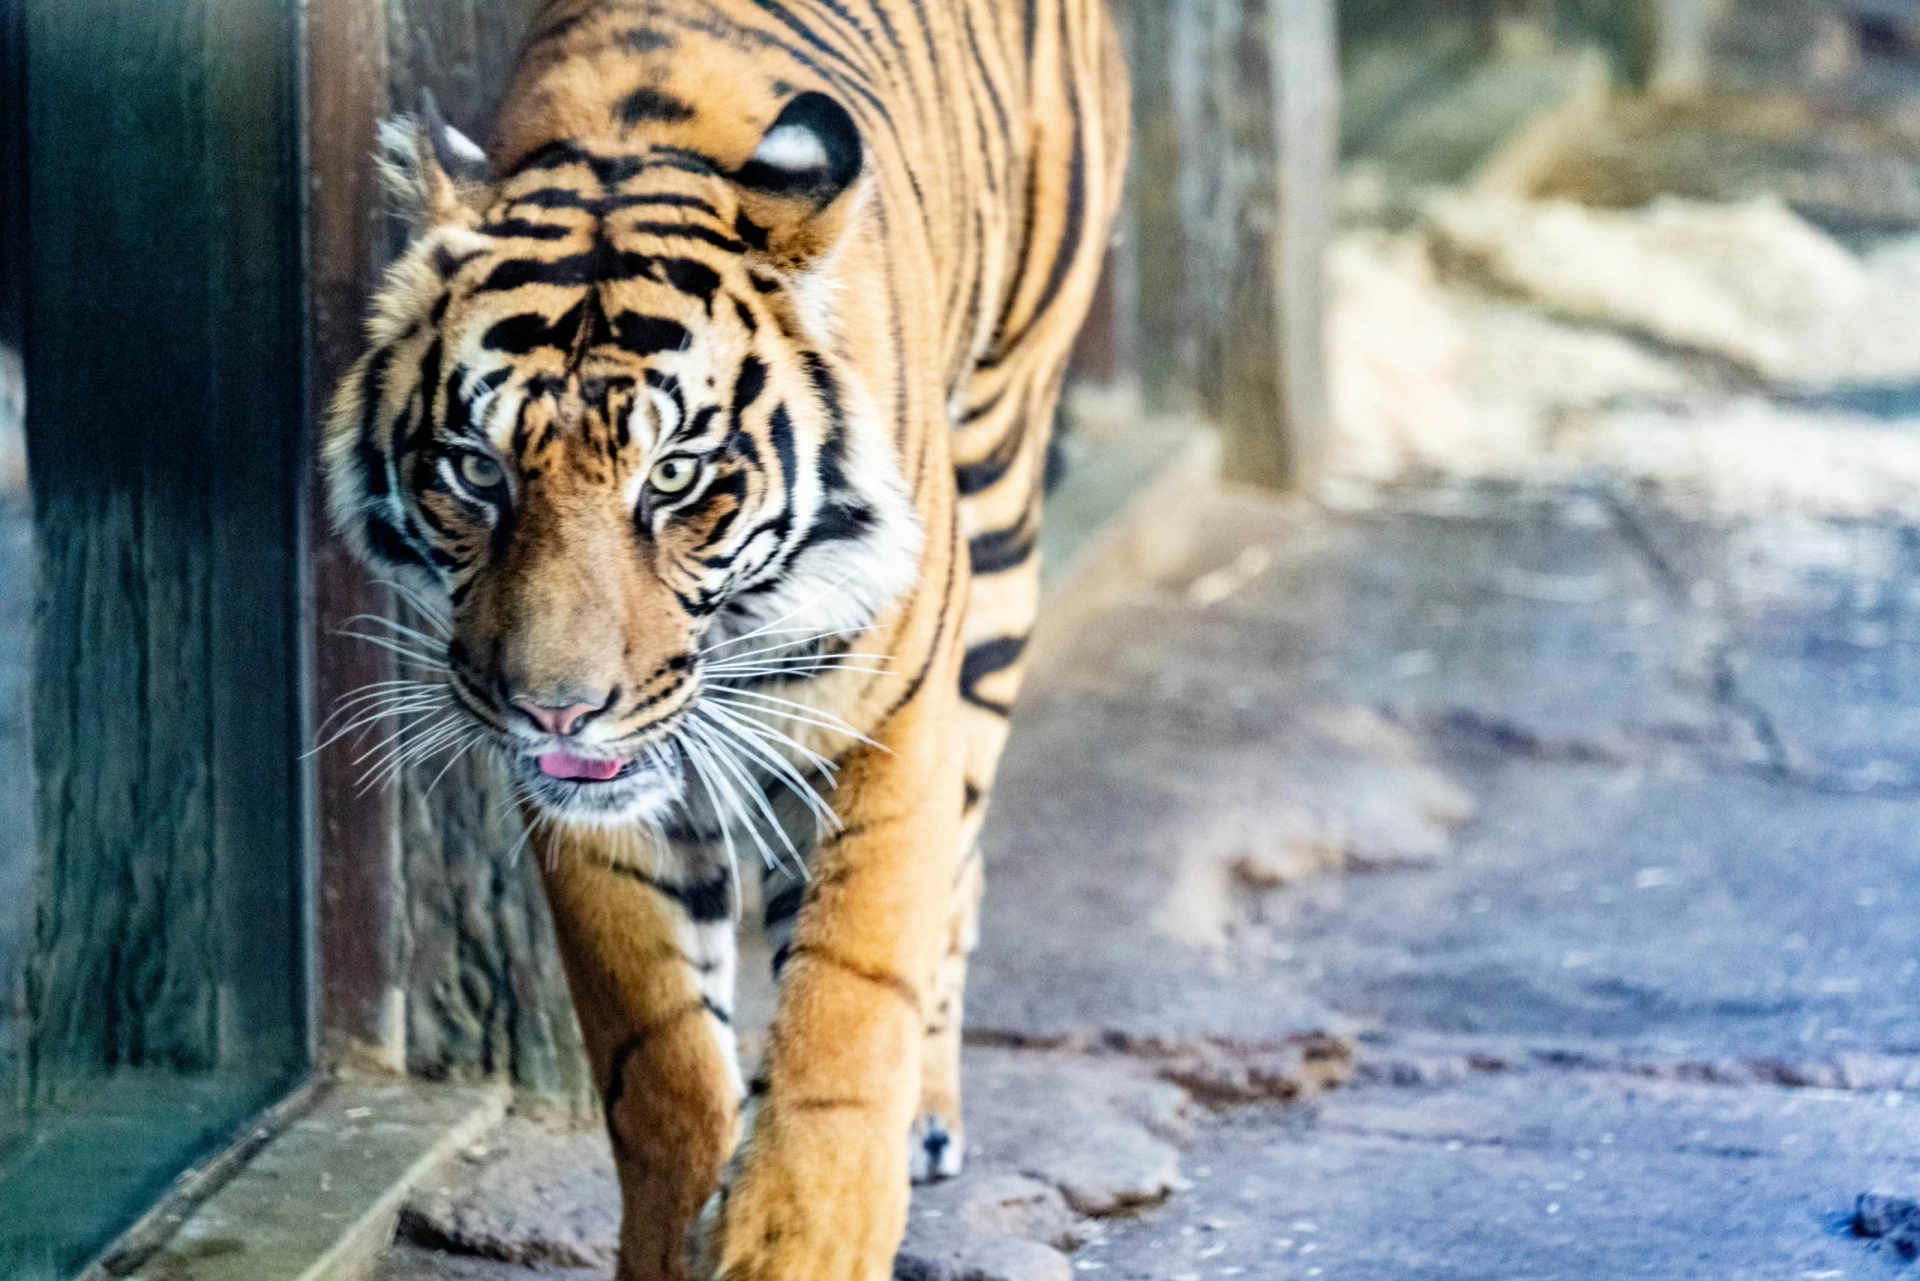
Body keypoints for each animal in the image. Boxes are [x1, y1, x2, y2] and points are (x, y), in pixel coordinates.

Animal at [318, 2, 1121, 1281]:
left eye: (675, 475)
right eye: (479, 472)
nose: (553, 706)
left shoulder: (885, 722)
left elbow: (847, 1020)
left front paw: (803, 1234)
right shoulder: (595, 804)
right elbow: (664, 1067)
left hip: (1001, 478)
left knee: (964, 853)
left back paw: (931, 1112)